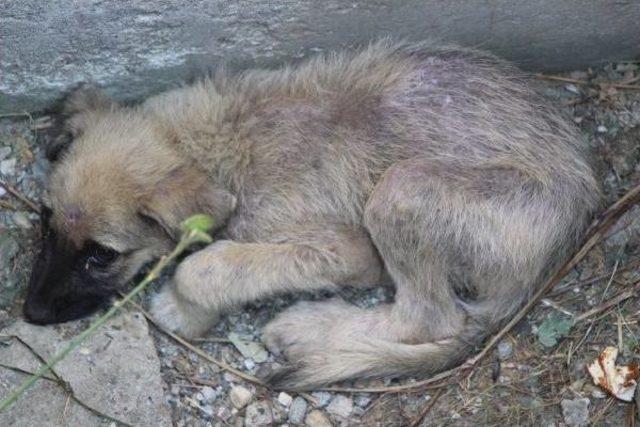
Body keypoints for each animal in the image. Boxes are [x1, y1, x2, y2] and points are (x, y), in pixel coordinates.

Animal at [22, 41, 600, 392]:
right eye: (45, 220)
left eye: (102, 256)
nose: (30, 314)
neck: (218, 141)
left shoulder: (348, 248)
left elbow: (207, 266)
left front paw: (184, 310)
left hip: (403, 189)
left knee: (430, 316)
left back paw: (313, 327)